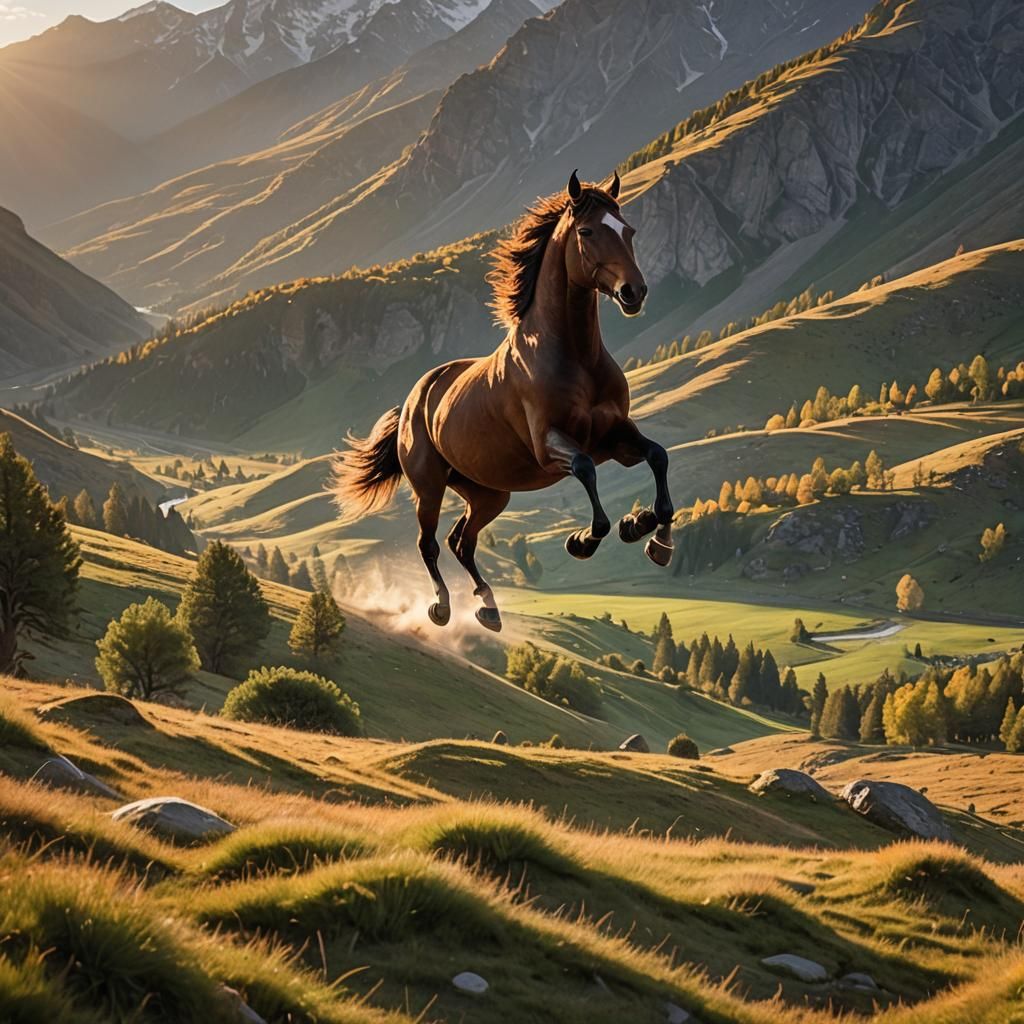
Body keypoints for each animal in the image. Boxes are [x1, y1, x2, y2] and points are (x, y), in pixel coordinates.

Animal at [332, 170, 674, 633]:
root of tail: (414, 399)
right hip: (430, 487)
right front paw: (584, 540)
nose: (633, 292)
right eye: (587, 232)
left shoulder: (615, 438)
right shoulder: (551, 446)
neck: (574, 358)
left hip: (488, 493)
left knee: (462, 541)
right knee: (429, 544)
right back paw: (442, 607)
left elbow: (657, 456)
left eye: (628, 230)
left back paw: (489, 607)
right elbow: (586, 470)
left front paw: (650, 534)